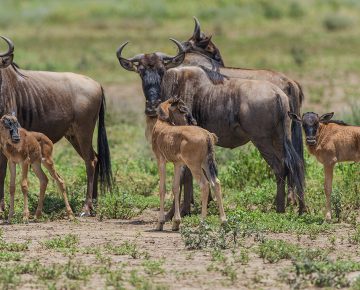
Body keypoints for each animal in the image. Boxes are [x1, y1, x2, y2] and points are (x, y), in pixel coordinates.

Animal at [151, 98, 225, 230]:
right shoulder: (177, 164)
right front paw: (176, 223)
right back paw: (223, 221)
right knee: (216, 183)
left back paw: (202, 222)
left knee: (205, 184)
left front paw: (160, 223)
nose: (193, 121)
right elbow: (176, 187)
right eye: (183, 109)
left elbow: (162, 188)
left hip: (194, 166)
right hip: (206, 164)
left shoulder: (161, 160)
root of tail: (207, 135)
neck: (163, 125)